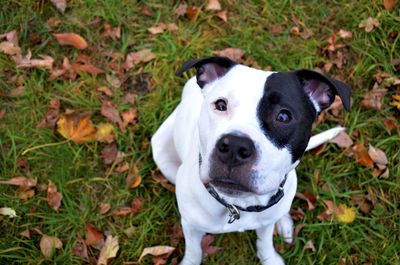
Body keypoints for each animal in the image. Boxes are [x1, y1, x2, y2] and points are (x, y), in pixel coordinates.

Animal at [152, 56, 352, 262]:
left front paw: (270, 258)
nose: (234, 147)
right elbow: (193, 250)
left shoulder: (266, 222)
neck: (238, 205)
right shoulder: (190, 225)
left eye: (283, 116)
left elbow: (265, 242)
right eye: (221, 105)